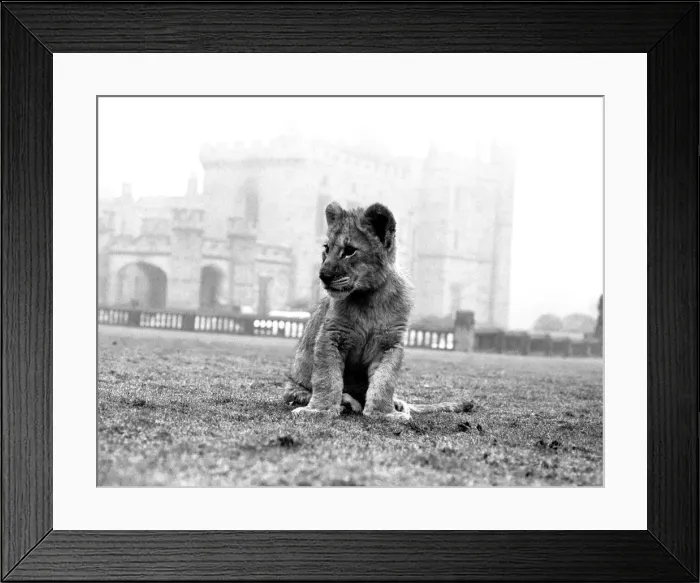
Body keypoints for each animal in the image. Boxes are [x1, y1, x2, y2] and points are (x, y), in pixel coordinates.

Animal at [282, 201, 474, 421]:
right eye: (327, 249)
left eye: (349, 250)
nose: (323, 275)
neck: (369, 298)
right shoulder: (331, 336)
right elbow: (327, 378)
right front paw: (319, 410)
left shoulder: (389, 343)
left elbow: (385, 381)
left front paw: (384, 413)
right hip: (292, 386)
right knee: (303, 392)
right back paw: (347, 402)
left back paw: (398, 405)